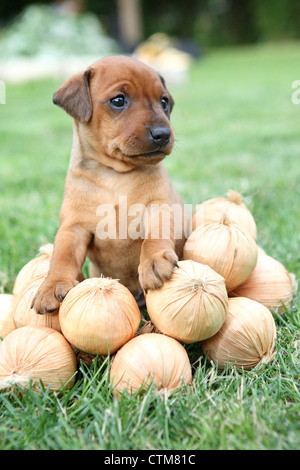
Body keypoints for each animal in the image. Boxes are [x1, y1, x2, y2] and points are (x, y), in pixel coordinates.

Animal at [31, 55, 190, 314]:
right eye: (118, 100)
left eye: (164, 102)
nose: (163, 134)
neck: (114, 175)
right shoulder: (73, 228)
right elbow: (62, 257)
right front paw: (51, 285)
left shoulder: (159, 206)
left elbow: (156, 234)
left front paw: (154, 259)